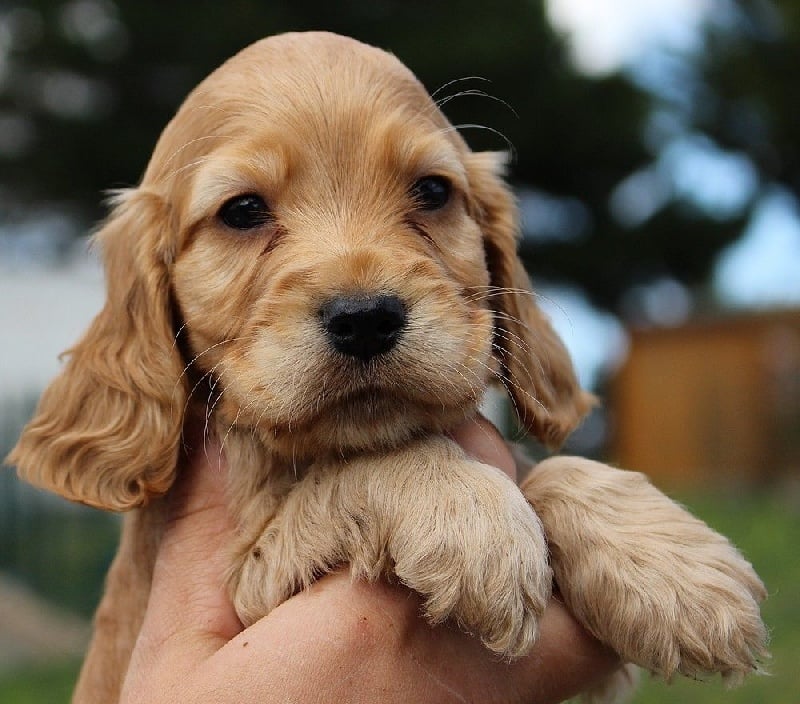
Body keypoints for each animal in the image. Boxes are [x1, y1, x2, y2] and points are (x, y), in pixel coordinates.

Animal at [7, 30, 768, 700]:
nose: (366, 318)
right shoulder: (252, 579)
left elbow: (546, 467)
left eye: (432, 191)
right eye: (242, 210)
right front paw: (471, 518)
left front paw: (673, 571)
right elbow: (366, 466)